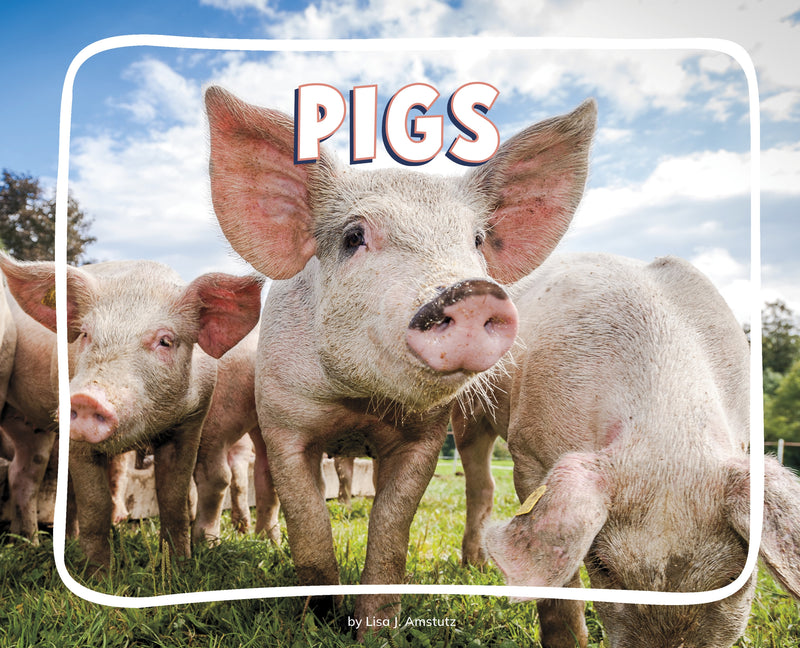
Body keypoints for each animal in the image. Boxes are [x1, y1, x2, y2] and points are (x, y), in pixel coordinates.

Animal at [0, 253, 263, 568]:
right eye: (85, 334)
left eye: (165, 341)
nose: (86, 398)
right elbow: (94, 504)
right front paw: (99, 573)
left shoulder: (192, 422)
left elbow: (174, 498)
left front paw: (178, 567)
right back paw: (34, 544)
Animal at [193, 329, 280, 544]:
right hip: (264, 418)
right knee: (265, 472)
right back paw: (268, 541)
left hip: (215, 417)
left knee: (216, 476)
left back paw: (205, 543)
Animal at [204, 85, 596, 635]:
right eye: (353, 237)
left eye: (477, 240)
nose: (472, 291)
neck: (359, 403)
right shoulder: (284, 420)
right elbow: (308, 523)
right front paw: (318, 620)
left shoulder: (426, 437)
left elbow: (392, 527)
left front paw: (375, 628)